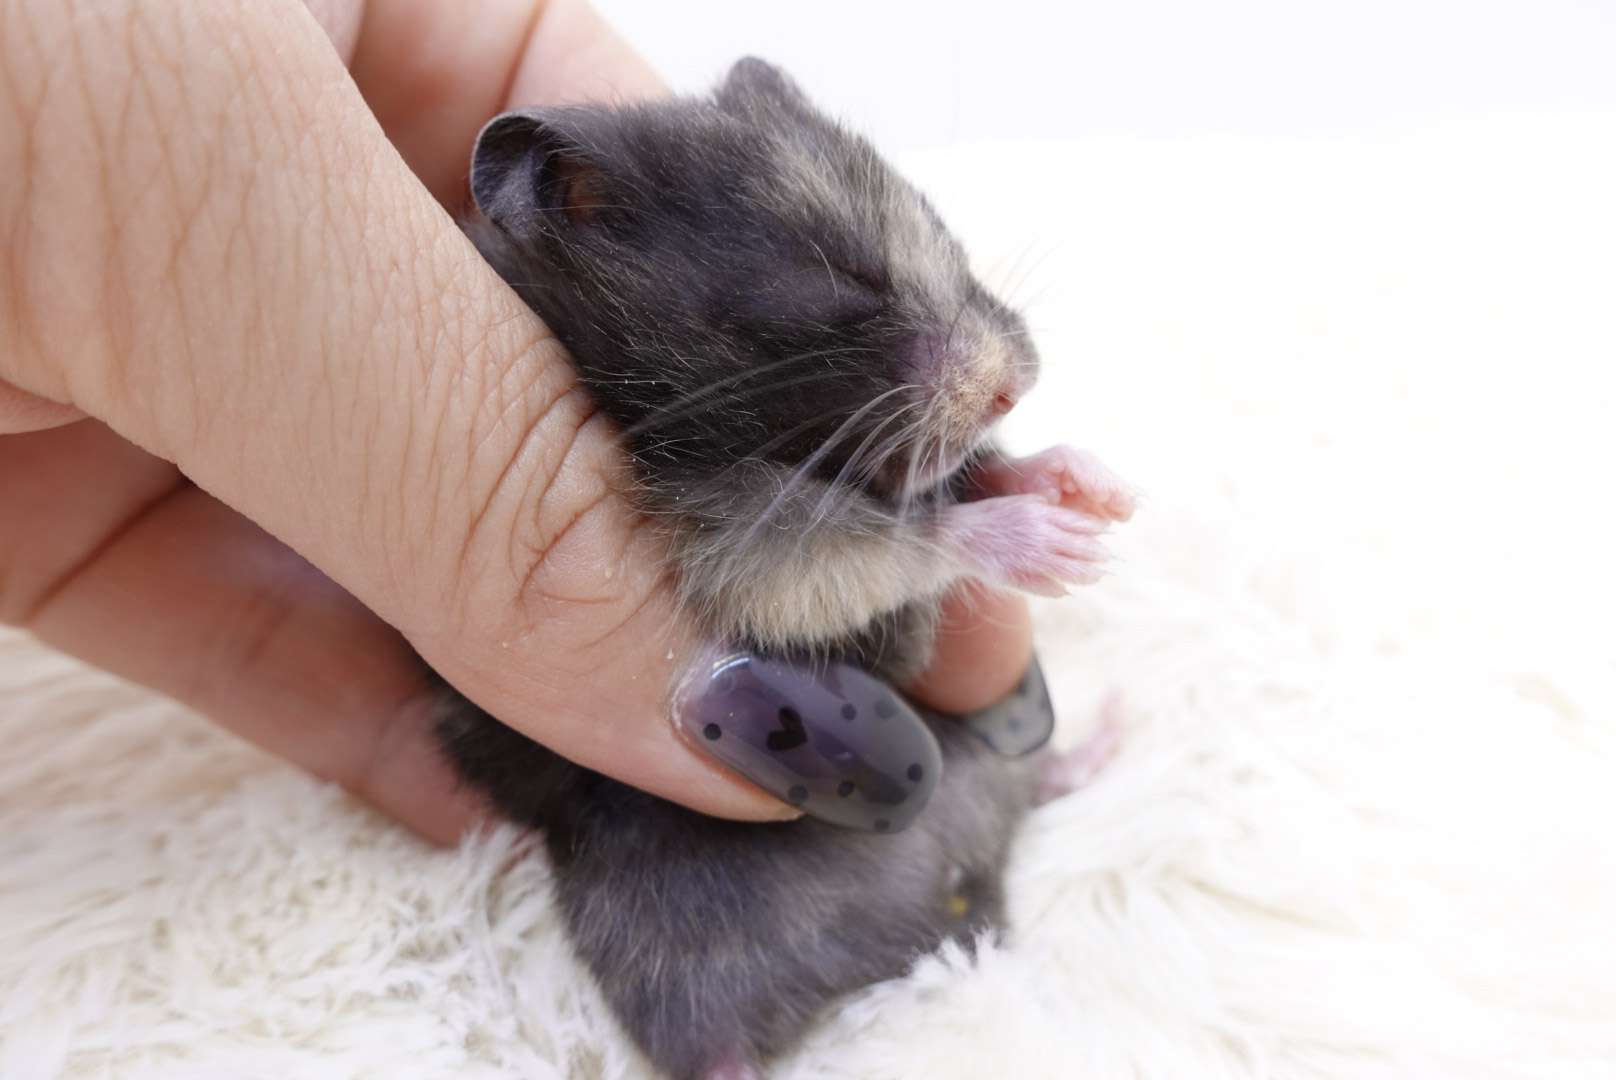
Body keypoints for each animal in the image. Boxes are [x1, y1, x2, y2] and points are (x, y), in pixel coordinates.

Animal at [437, 58, 1134, 1080]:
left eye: (938, 221)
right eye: (841, 274)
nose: (1018, 382)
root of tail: (933, 926)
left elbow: (960, 479)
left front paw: (1098, 492)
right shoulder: (729, 542)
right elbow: (881, 544)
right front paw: (1054, 545)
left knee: (1039, 785)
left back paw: (1111, 728)